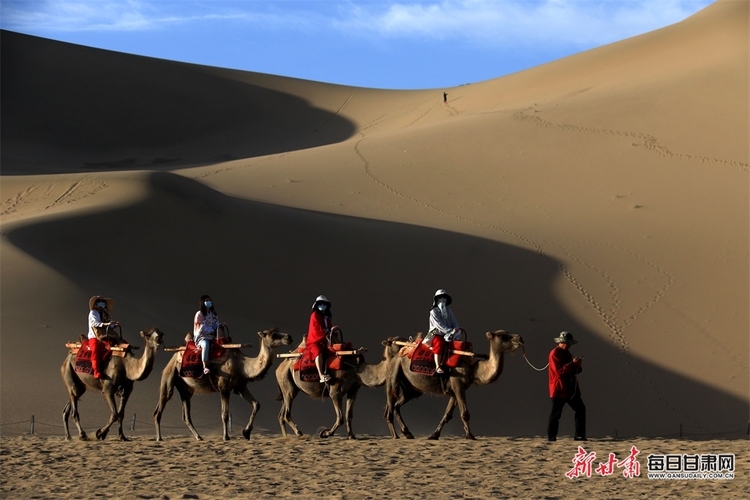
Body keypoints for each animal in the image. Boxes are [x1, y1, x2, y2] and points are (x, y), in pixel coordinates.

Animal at [153, 328, 294, 442]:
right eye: (273, 334)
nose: (289, 337)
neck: (242, 365)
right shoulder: (224, 387)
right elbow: (225, 414)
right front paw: (226, 437)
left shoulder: (241, 387)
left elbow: (256, 404)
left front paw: (246, 432)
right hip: (169, 376)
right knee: (160, 407)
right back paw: (159, 438)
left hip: (186, 389)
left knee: (186, 415)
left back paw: (199, 437)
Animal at [276, 338, 406, 440]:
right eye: (398, 343)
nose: (409, 345)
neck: (358, 370)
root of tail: (280, 366)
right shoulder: (335, 392)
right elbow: (340, 418)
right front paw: (325, 433)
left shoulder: (353, 390)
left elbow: (349, 415)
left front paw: (352, 436)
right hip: (288, 385)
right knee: (286, 412)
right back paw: (299, 433)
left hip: (287, 387)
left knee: (281, 413)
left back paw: (286, 436)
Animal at [384, 330, 524, 440]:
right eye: (503, 336)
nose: (520, 338)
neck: (472, 368)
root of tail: (397, 355)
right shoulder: (458, 384)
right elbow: (465, 413)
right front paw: (470, 436)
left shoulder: (454, 390)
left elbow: (447, 415)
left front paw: (434, 435)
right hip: (393, 373)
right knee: (390, 406)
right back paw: (395, 436)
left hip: (411, 388)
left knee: (397, 405)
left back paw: (407, 433)